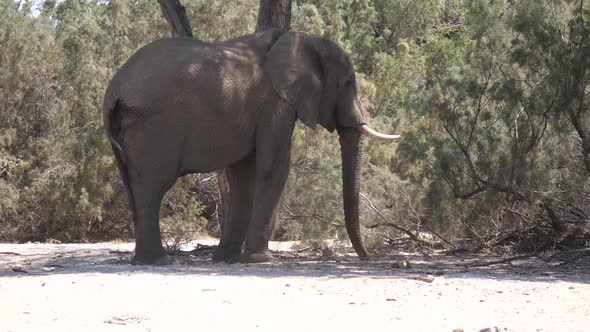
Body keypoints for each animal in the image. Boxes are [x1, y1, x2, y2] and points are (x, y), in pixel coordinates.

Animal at [104, 29, 400, 266]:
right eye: (348, 83)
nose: (366, 258)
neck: (303, 39)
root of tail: (113, 90)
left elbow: (243, 176)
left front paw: (227, 259)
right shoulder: (276, 104)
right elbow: (274, 167)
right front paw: (261, 260)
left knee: (133, 186)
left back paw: (144, 260)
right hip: (153, 127)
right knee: (152, 188)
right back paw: (159, 261)